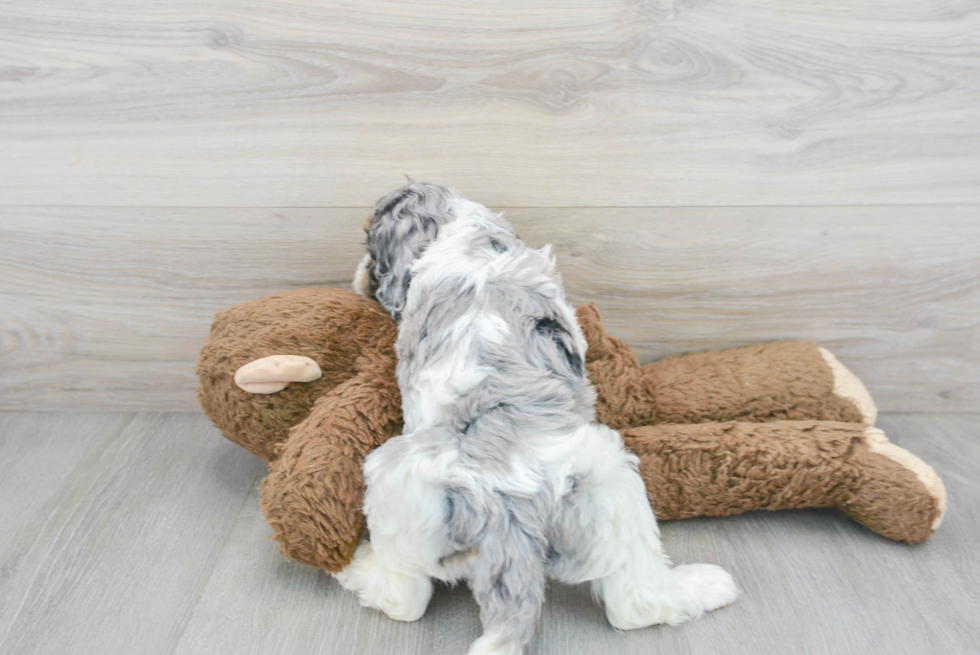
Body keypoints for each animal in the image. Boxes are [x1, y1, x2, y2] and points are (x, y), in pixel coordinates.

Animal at [340, 181, 740, 655]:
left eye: (370, 246)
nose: (359, 273)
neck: (468, 238)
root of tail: (507, 504)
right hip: (608, 483)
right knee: (637, 603)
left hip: (407, 483)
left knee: (406, 600)